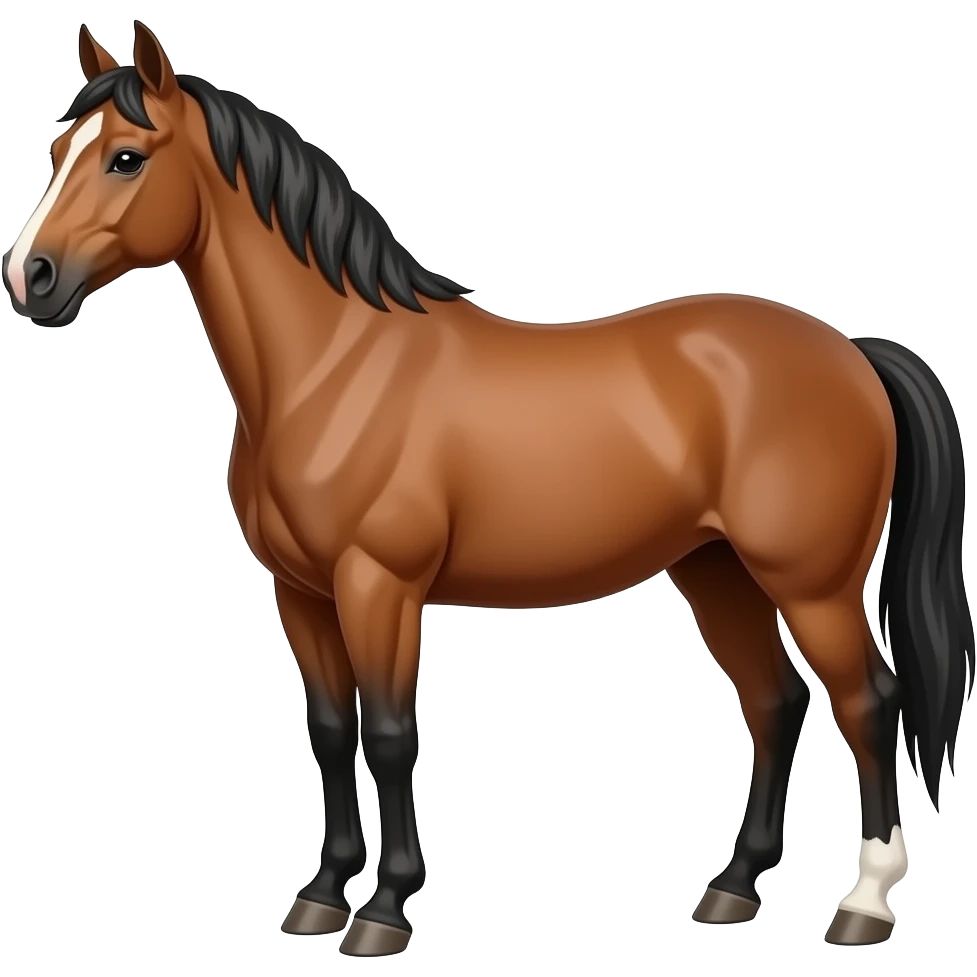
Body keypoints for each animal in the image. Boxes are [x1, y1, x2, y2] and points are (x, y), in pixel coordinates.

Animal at [3, 21, 973, 955]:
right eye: (56, 151)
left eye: (127, 157)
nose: (29, 277)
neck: (333, 366)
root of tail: (850, 351)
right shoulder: (300, 592)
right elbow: (330, 731)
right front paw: (320, 895)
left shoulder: (379, 585)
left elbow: (390, 735)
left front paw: (383, 910)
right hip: (716, 570)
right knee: (774, 702)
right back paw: (732, 889)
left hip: (811, 584)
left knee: (867, 702)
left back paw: (863, 904)